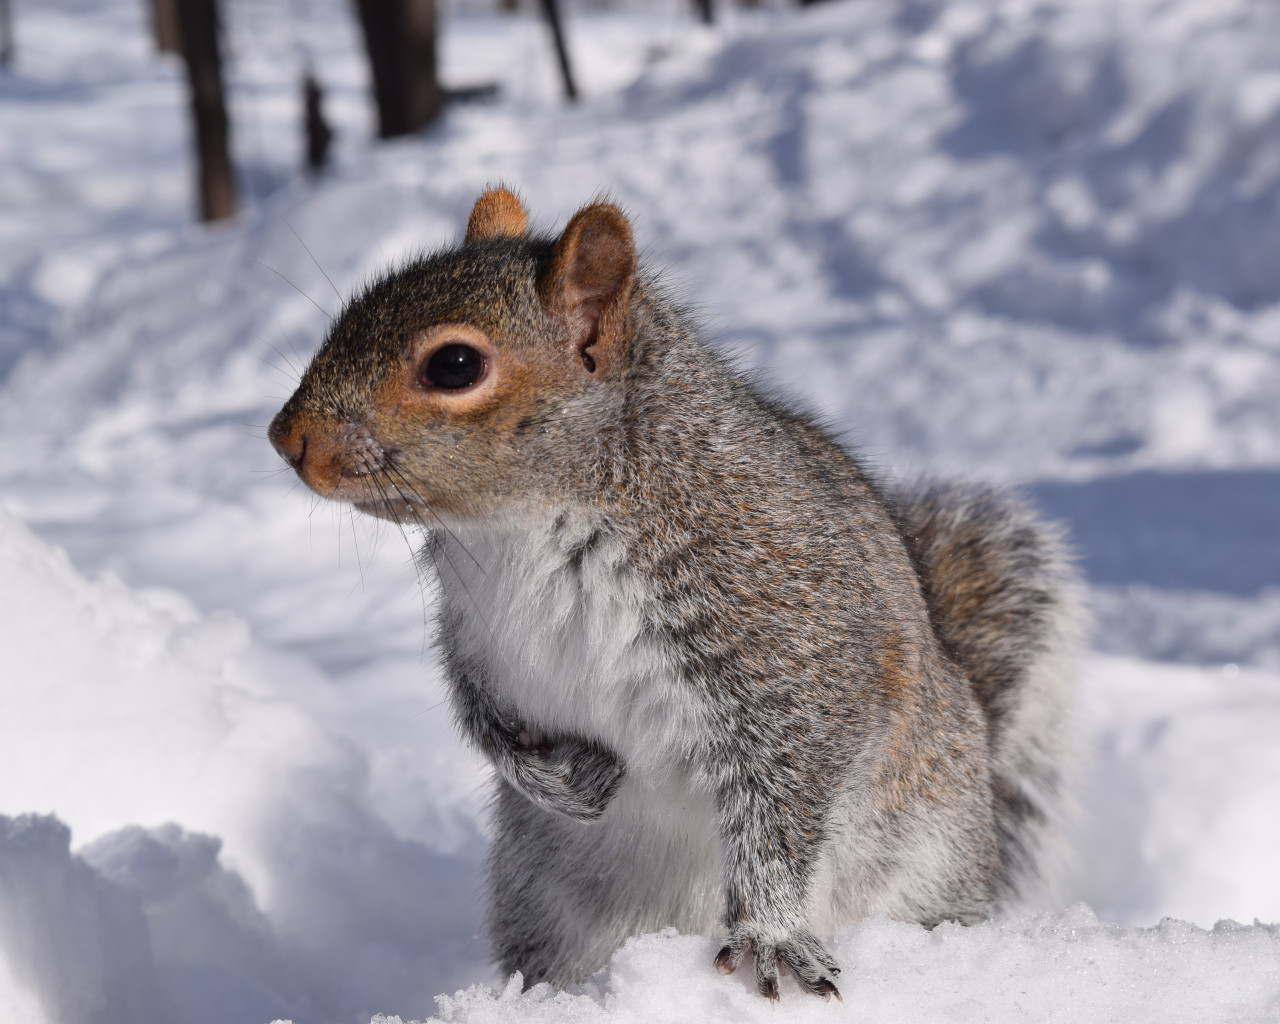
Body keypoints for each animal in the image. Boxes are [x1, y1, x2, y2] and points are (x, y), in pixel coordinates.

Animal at [268, 187, 1082, 1002]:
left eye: (455, 364)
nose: (285, 438)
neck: (522, 527)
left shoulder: (790, 633)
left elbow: (785, 788)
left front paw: (770, 932)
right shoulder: (474, 636)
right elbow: (482, 718)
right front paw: (561, 780)